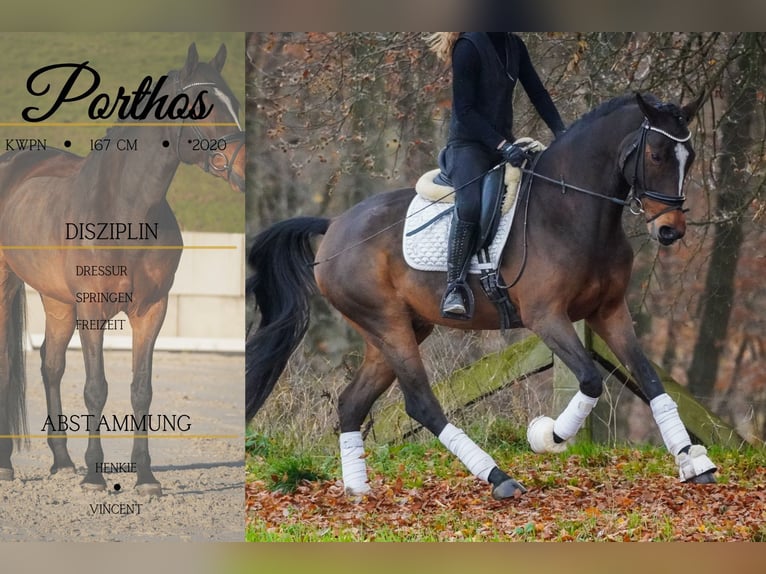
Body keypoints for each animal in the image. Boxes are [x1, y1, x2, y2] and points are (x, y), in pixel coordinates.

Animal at [0, 43, 245, 496]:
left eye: (235, 103)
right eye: (202, 108)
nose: (242, 168)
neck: (122, 209)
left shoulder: (151, 311)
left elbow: (141, 390)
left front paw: (145, 476)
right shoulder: (93, 311)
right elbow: (97, 389)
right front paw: (96, 475)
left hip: (57, 301)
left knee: (50, 364)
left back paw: (62, 462)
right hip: (7, 285)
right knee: (10, 365)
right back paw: (7, 465)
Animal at [246, 92, 717, 500]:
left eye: (689, 157)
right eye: (655, 155)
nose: (670, 230)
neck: (574, 212)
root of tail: (335, 227)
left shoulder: (609, 311)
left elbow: (650, 380)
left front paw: (693, 461)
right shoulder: (547, 317)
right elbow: (590, 378)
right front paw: (548, 436)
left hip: (397, 330)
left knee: (351, 403)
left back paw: (357, 491)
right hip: (388, 325)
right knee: (421, 404)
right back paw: (499, 478)